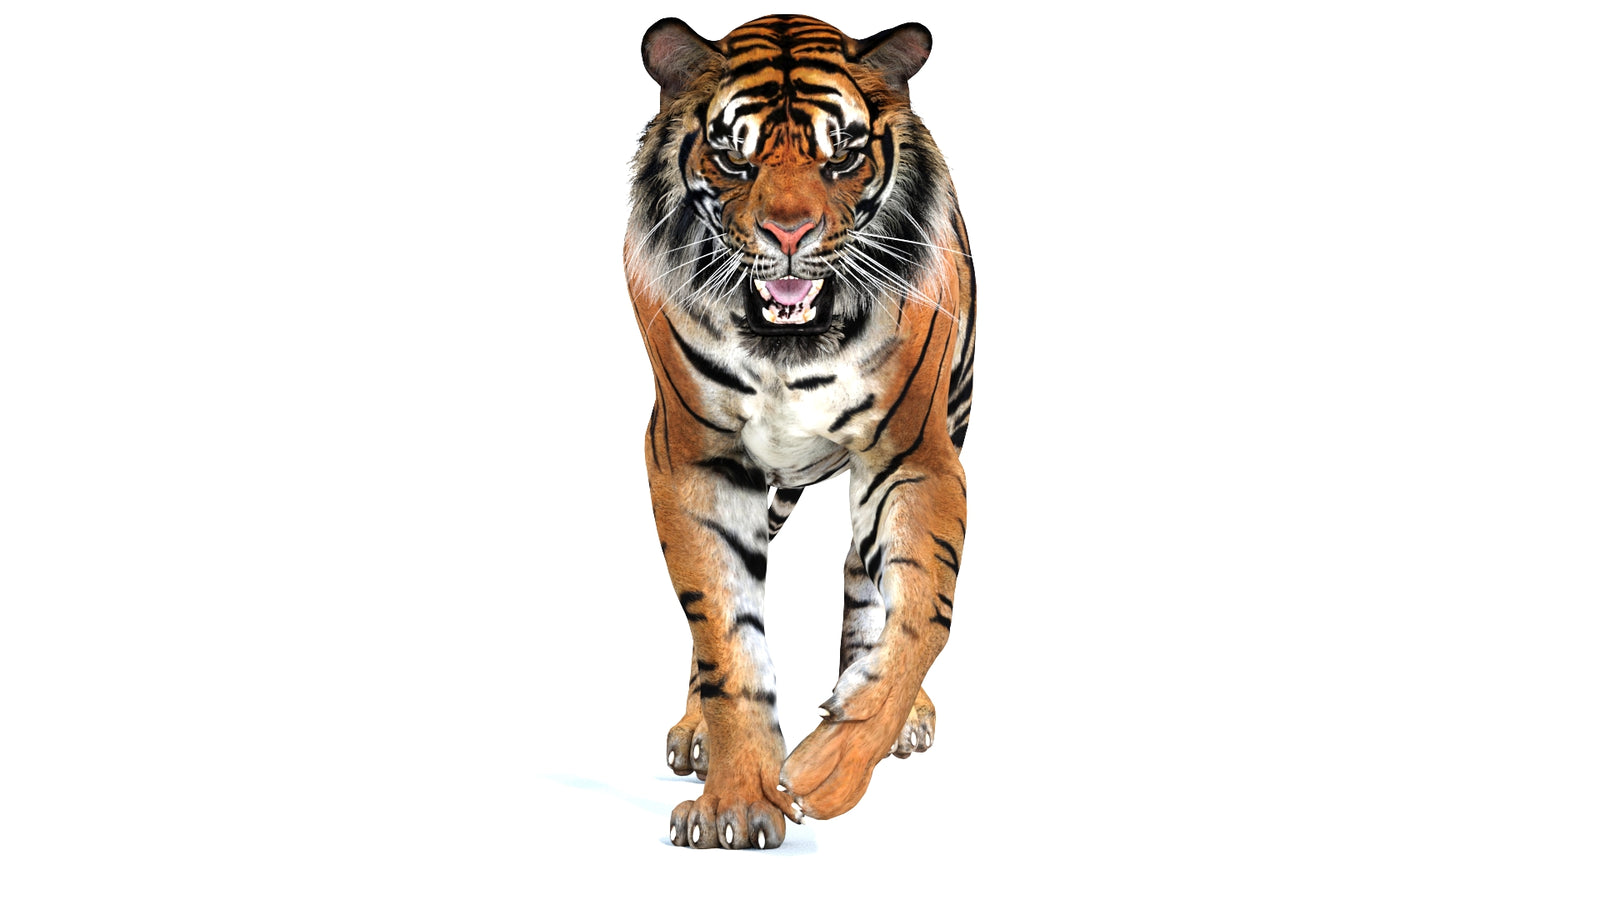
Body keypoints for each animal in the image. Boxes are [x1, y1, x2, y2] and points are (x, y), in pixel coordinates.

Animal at [625, 14, 975, 850]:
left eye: (840, 157)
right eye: (734, 158)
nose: (790, 232)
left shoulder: (915, 457)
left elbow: (921, 614)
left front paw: (826, 769)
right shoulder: (693, 461)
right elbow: (725, 639)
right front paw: (736, 801)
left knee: (868, 589)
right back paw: (696, 733)